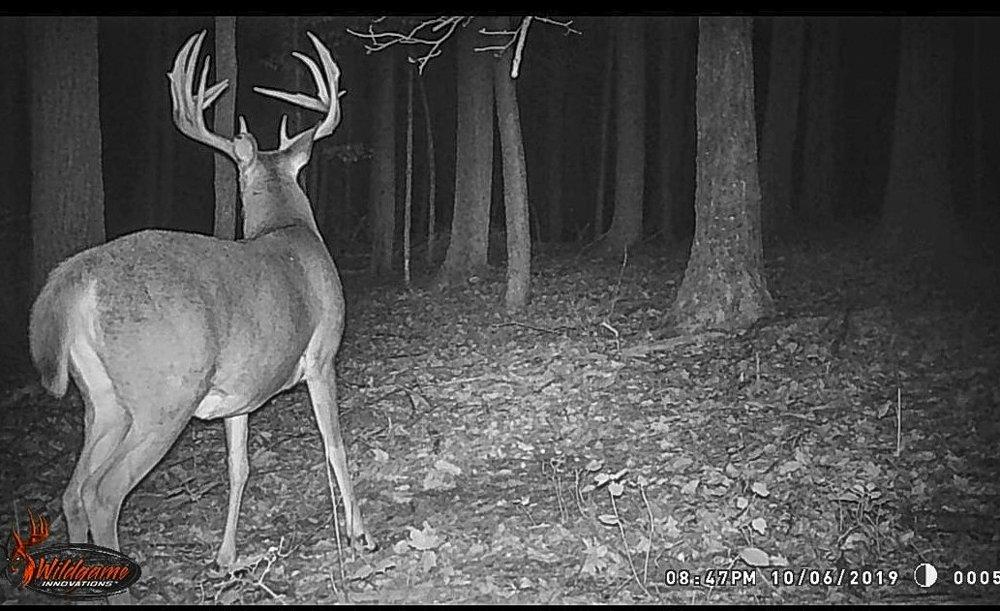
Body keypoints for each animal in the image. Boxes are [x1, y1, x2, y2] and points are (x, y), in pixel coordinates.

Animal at [28, 29, 373, 598]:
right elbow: (335, 445)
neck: (289, 228)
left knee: (74, 492)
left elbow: (239, 467)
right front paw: (361, 534)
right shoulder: (322, 355)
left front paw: (227, 558)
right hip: (164, 394)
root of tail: (76, 277)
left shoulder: (240, 393)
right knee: (103, 493)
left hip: (102, 401)